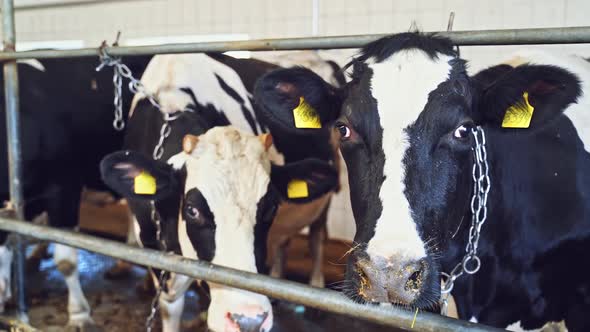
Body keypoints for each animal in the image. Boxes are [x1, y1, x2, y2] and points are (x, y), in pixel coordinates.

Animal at [99, 53, 340, 330]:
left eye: (270, 207)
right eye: (192, 210)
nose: (248, 318)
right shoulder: (151, 246)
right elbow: (171, 309)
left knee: (317, 236)